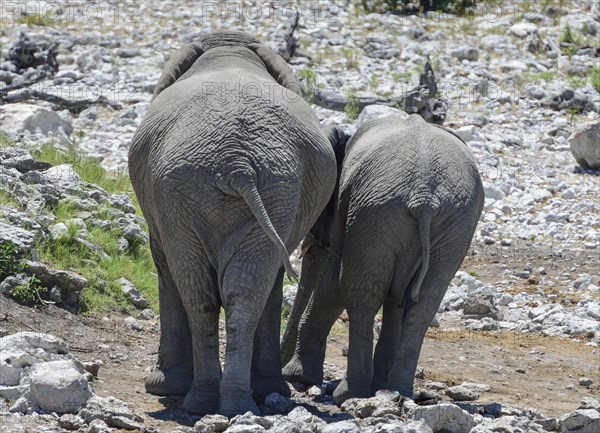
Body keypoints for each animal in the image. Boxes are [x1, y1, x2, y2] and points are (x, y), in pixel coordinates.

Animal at [129, 30, 338, 416]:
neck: (230, 46)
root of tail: (236, 161)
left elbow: (164, 265)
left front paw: (160, 386)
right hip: (256, 188)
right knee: (240, 293)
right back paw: (230, 404)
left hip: (209, 191)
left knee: (202, 291)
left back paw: (209, 402)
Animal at [284, 114, 486, 402]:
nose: (281, 366)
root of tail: (424, 197)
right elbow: (395, 300)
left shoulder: (347, 207)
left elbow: (333, 285)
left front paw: (299, 377)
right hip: (445, 224)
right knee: (422, 306)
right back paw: (398, 391)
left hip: (375, 214)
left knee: (359, 295)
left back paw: (349, 394)